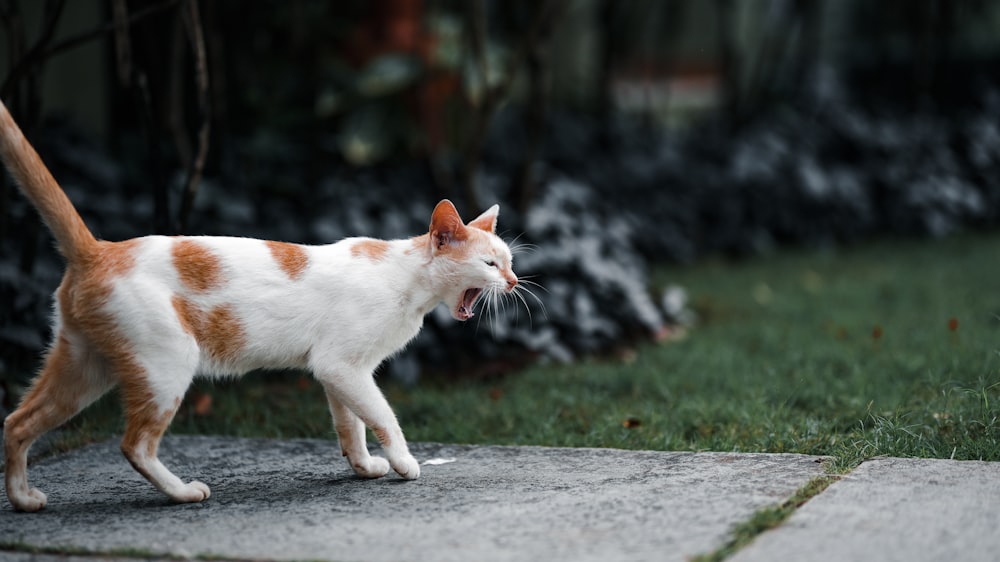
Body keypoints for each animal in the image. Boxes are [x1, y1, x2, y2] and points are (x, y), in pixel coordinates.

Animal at [0, 98, 516, 510]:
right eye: (490, 263)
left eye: (508, 262)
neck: (405, 278)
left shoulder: (340, 371)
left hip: (85, 368)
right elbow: (383, 416)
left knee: (17, 422)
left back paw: (23, 499)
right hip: (166, 363)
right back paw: (183, 493)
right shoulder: (341, 366)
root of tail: (99, 249)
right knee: (134, 445)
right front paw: (404, 463)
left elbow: (350, 424)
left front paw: (364, 466)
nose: (513, 282)